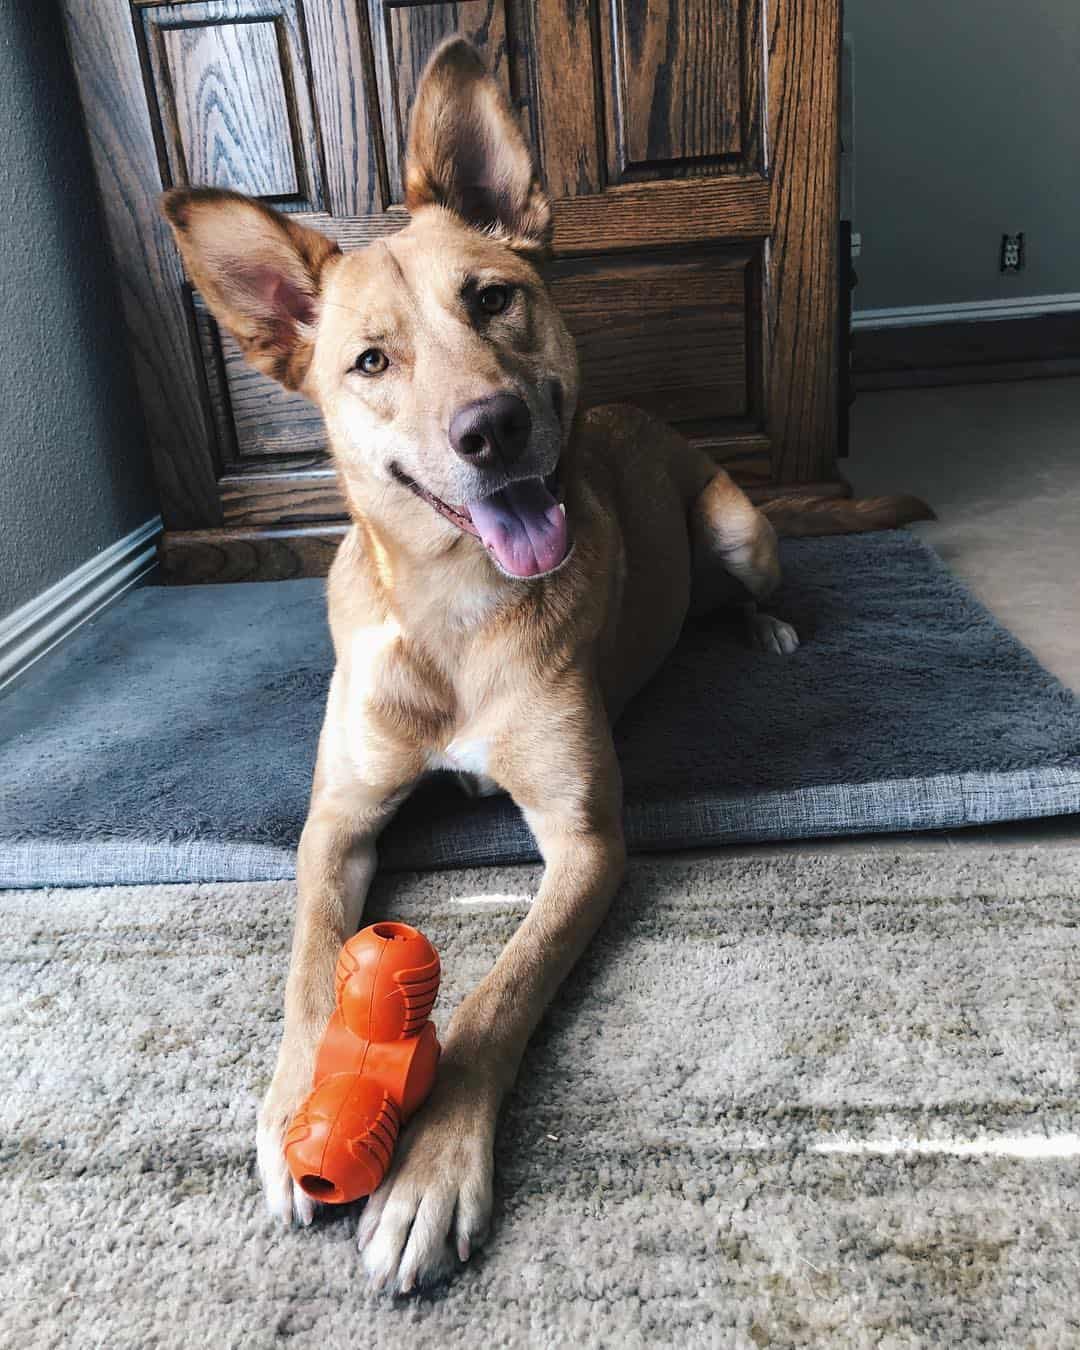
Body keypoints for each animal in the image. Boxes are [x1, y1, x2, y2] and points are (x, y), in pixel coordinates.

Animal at [160, 36, 928, 1290]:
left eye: (492, 297)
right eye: (369, 360)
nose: (492, 431)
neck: (454, 614)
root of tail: (642, 416)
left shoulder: (585, 842)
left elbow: (497, 997)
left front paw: (429, 1169)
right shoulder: (337, 820)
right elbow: (311, 961)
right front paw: (289, 1108)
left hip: (741, 531)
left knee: (755, 588)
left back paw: (764, 631)